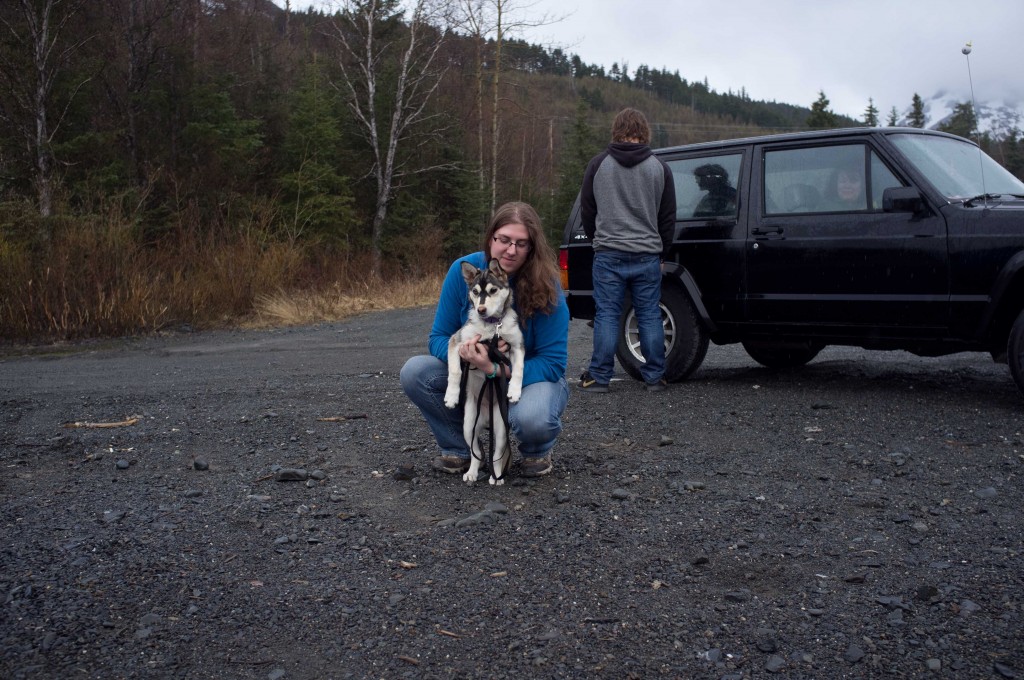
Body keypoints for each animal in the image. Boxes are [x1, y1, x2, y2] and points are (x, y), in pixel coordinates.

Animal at [446, 258, 528, 485]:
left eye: (493, 290)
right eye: (475, 292)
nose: (481, 310)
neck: (492, 327)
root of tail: (485, 417)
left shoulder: (517, 346)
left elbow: (518, 369)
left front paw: (514, 391)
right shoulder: (457, 342)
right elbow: (455, 371)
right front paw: (451, 396)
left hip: (500, 429)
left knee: (496, 455)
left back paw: (496, 476)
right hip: (468, 426)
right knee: (476, 453)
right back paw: (472, 473)